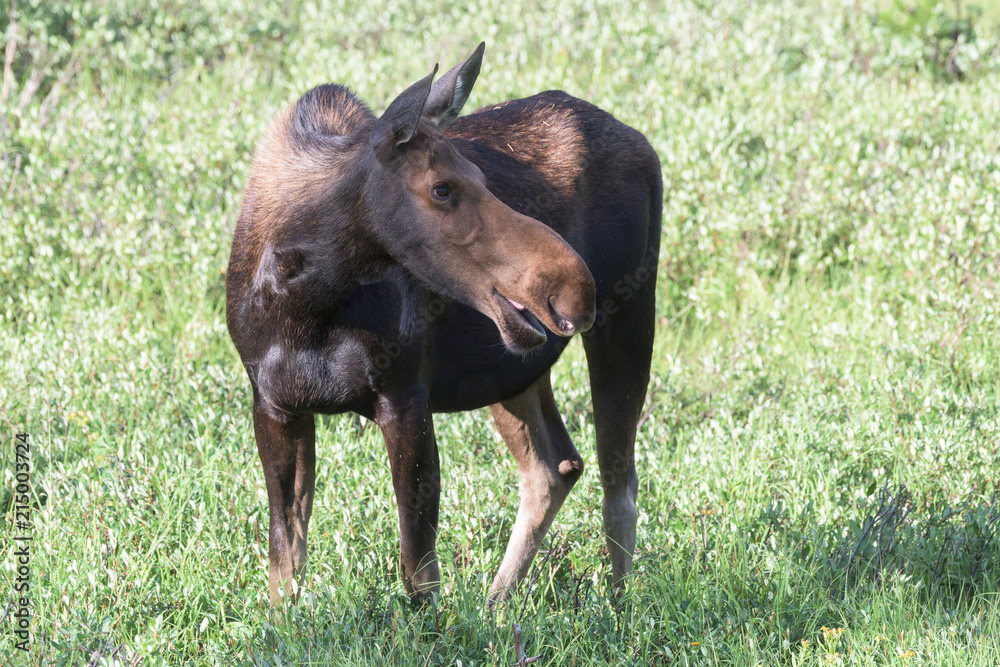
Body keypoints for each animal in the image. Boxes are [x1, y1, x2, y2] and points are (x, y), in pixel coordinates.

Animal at [228, 41, 664, 604]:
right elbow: (285, 568)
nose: (573, 284)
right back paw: (499, 602)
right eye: (441, 189)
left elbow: (418, 573)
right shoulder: (274, 404)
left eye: (482, 178)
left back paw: (616, 606)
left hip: (627, 314)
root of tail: (642, 143)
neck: (307, 305)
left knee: (619, 478)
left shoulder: (405, 396)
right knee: (556, 467)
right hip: (509, 368)